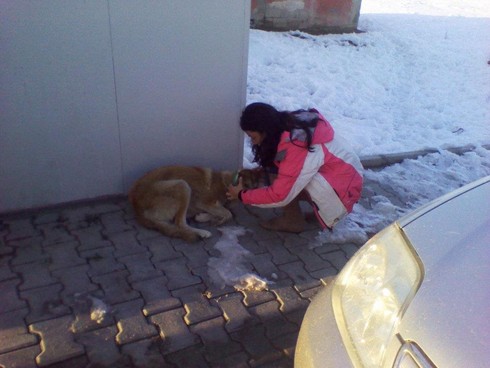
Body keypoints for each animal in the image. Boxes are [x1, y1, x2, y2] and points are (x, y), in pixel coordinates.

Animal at [129, 166, 260, 242]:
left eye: (255, 187)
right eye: (246, 185)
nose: (252, 198)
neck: (227, 183)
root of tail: (136, 205)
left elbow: (224, 211)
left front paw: (202, 217)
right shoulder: (204, 202)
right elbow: (228, 213)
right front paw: (217, 220)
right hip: (182, 185)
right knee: (180, 223)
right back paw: (202, 233)